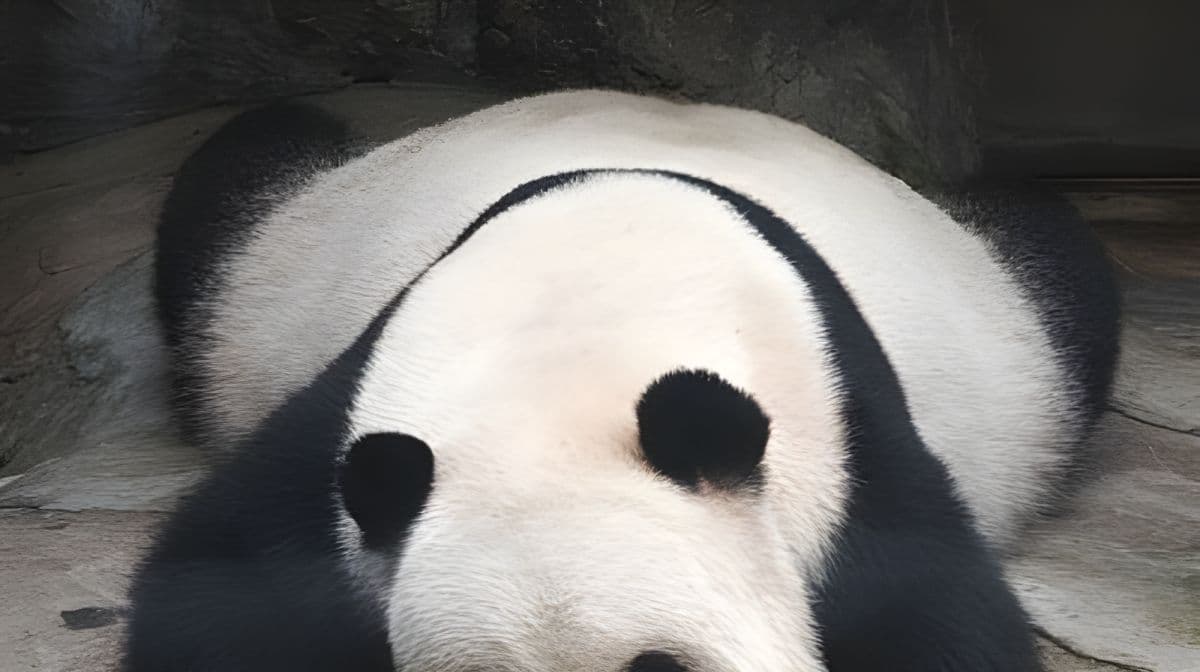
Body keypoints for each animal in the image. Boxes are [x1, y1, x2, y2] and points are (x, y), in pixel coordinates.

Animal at [124, 90, 1120, 672]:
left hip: (1020, 325)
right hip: (258, 265)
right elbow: (220, 593)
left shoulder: (848, 450)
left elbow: (936, 621)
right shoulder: (350, 419)